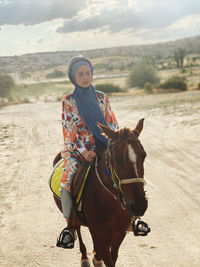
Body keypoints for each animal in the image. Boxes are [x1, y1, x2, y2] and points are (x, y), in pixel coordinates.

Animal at [53, 120, 148, 267]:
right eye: (117, 159)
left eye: (144, 156)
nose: (139, 206)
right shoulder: (99, 234)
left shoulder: (119, 234)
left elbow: (111, 256)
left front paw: (97, 258)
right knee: (76, 228)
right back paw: (83, 257)